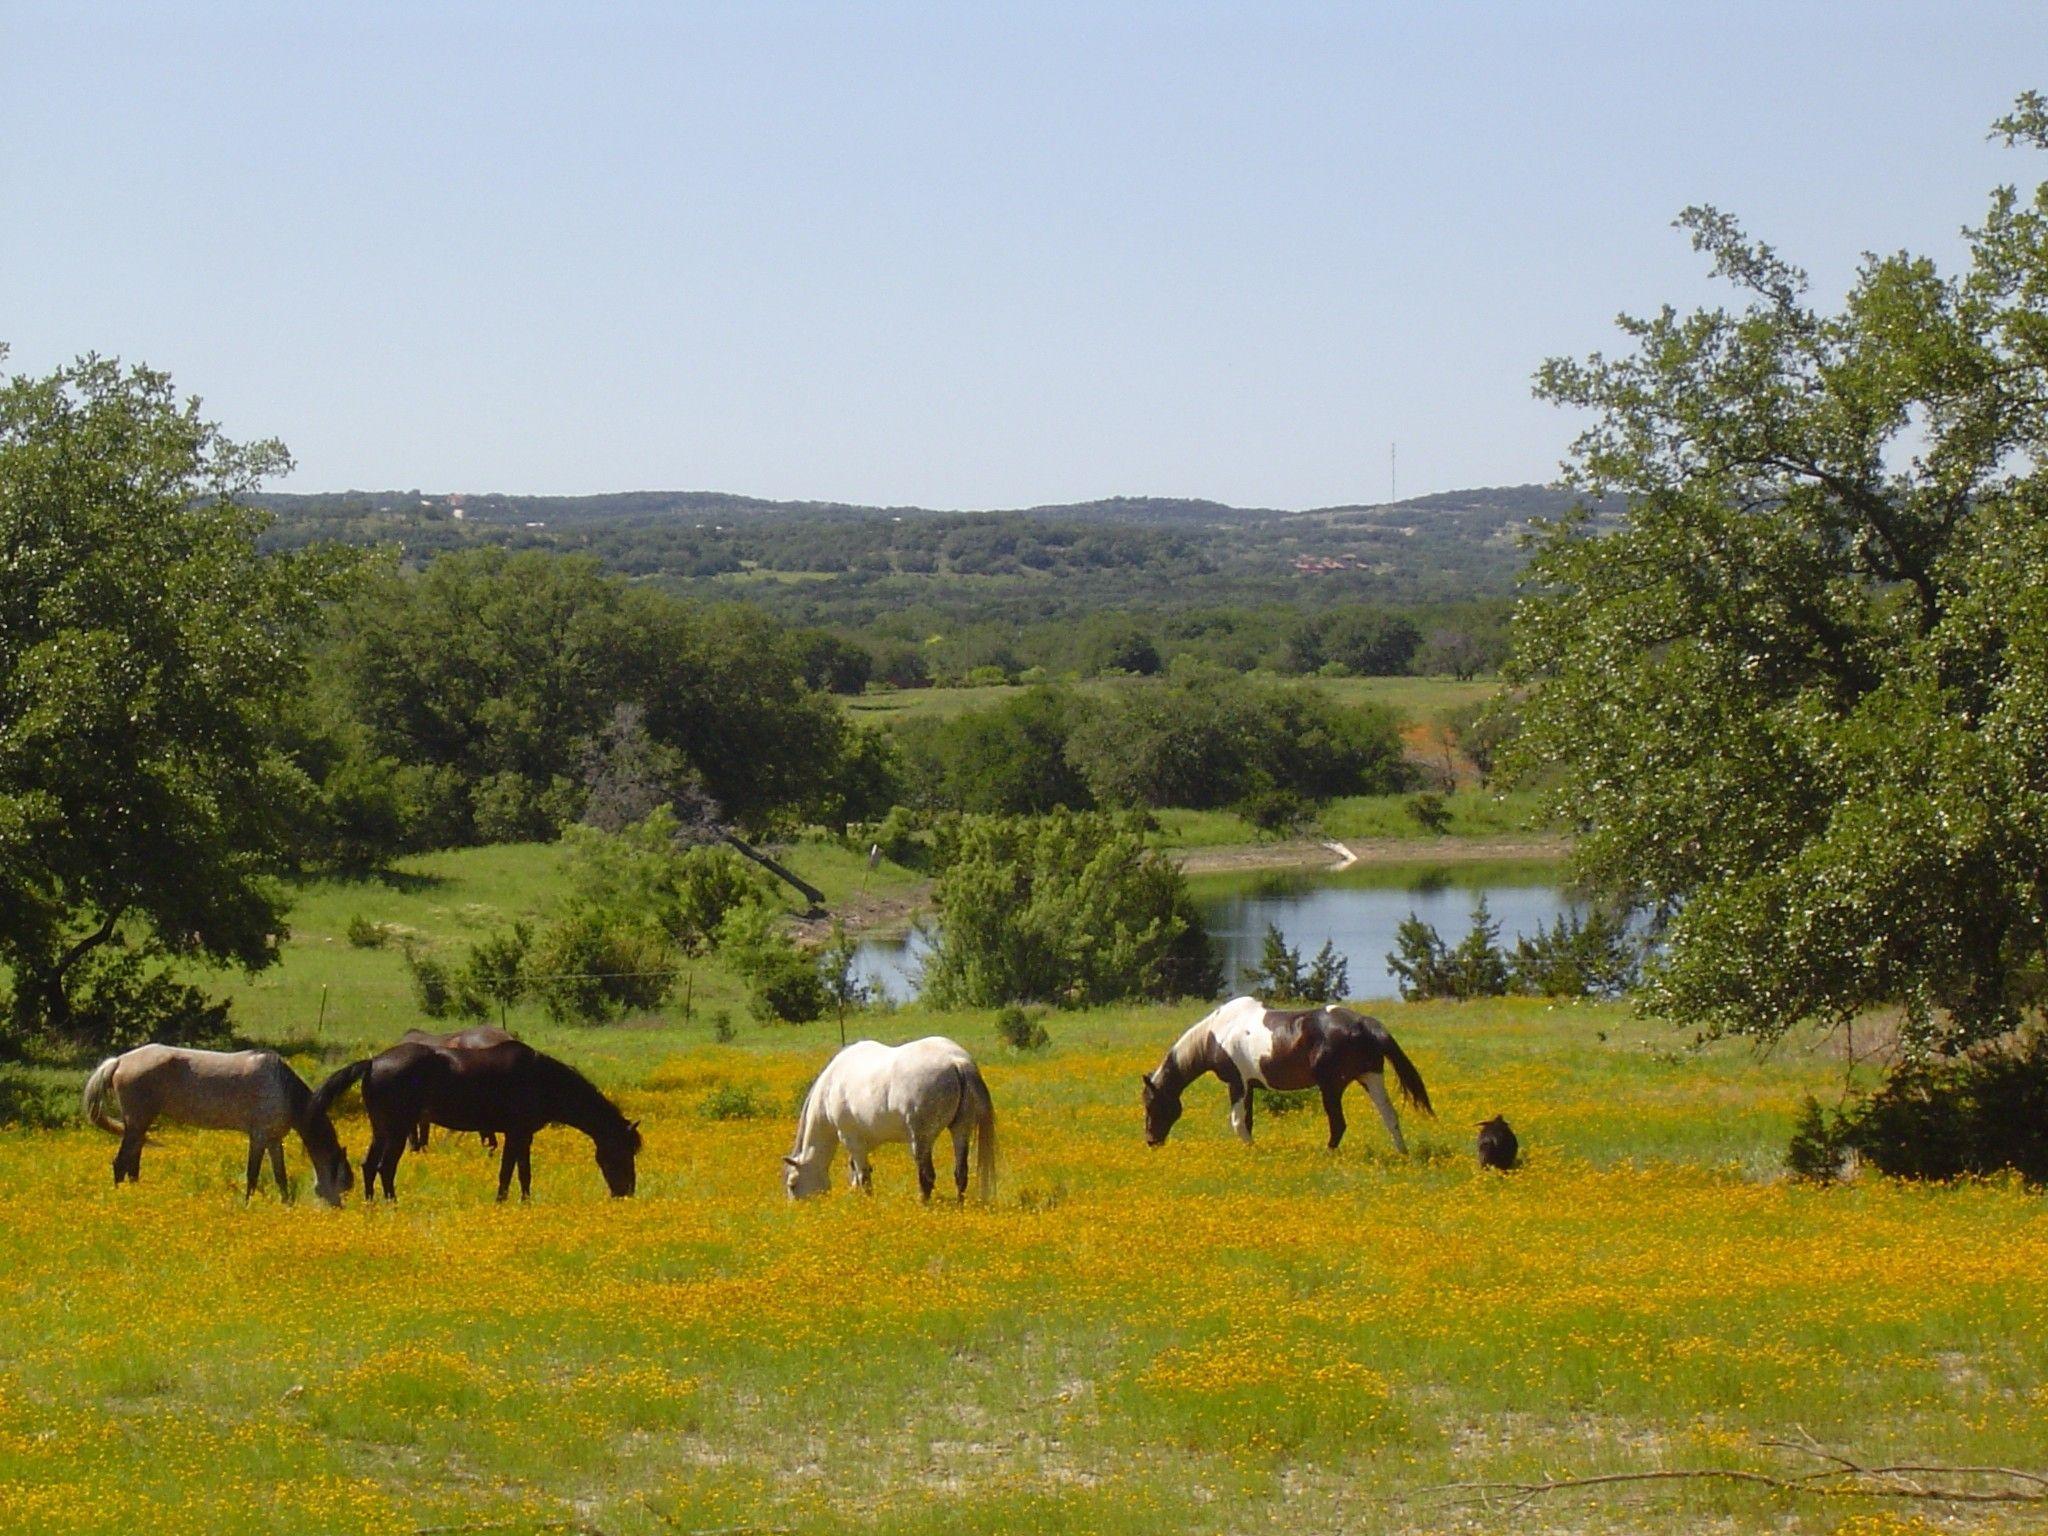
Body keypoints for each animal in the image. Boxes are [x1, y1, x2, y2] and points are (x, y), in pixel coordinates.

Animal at [81, 1045, 354, 1206]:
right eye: (342, 1183)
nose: (338, 1208)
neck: (282, 1088)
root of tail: (119, 1061)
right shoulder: (258, 1136)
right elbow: (252, 1175)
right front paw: (247, 1205)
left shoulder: (274, 1139)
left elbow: (280, 1177)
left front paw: (286, 1205)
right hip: (137, 1122)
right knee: (120, 1164)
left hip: (140, 1125)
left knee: (132, 1165)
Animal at [310, 1035, 640, 1202]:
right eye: (622, 1153)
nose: (626, 1192)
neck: (541, 1079)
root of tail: (374, 1062)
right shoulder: (516, 1133)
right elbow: (508, 1171)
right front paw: (503, 1202)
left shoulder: (523, 1135)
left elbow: (523, 1172)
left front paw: (525, 1202)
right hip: (398, 1130)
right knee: (385, 1168)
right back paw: (392, 1204)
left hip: (382, 1130)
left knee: (369, 1166)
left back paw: (371, 1204)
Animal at [784, 1037, 997, 1202]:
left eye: (793, 1184)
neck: (830, 1085)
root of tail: (957, 1061)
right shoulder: (863, 1143)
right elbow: (857, 1171)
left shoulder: (851, 1140)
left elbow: (863, 1176)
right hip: (961, 1130)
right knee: (960, 1173)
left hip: (921, 1139)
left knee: (927, 1177)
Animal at [1141, 996, 1434, 1153]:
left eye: (1152, 1104)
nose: (1151, 1141)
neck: (1216, 1033)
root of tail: (1365, 1024)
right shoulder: (1249, 1087)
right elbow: (1247, 1121)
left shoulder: (1237, 1084)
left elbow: (1238, 1122)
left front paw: (1251, 1151)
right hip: (1371, 1078)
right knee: (1390, 1116)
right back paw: (1402, 1154)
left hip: (1331, 1087)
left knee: (1338, 1124)